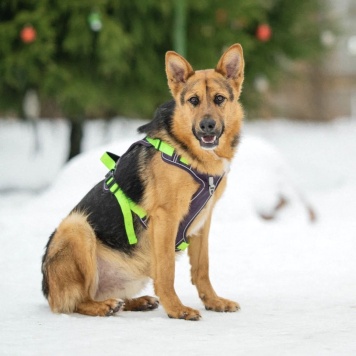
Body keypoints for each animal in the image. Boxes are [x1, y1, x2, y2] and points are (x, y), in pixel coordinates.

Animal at [40, 43, 243, 322]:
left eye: (219, 99)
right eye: (193, 101)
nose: (207, 126)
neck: (191, 155)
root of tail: (48, 291)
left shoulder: (204, 221)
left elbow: (202, 268)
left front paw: (213, 302)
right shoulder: (166, 218)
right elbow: (167, 270)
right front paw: (177, 309)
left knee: (110, 296)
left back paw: (136, 302)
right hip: (76, 226)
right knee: (77, 301)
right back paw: (102, 307)